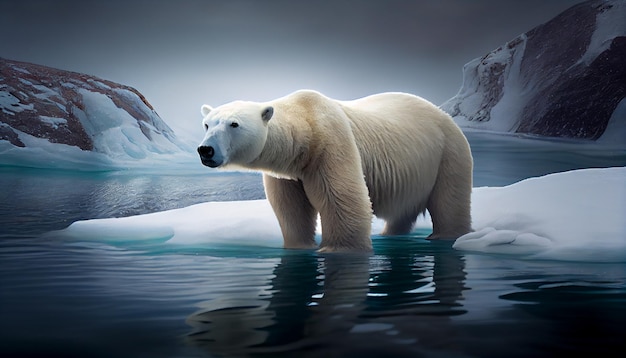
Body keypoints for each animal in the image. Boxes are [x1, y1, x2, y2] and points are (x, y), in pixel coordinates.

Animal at [197, 89, 470, 252]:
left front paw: (339, 249)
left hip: (448, 152)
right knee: (402, 212)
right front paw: (298, 246)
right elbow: (291, 209)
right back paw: (391, 234)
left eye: (234, 124)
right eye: (207, 124)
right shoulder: (287, 174)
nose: (205, 150)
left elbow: (342, 199)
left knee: (449, 200)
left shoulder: (331, 144)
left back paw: (447, 236)